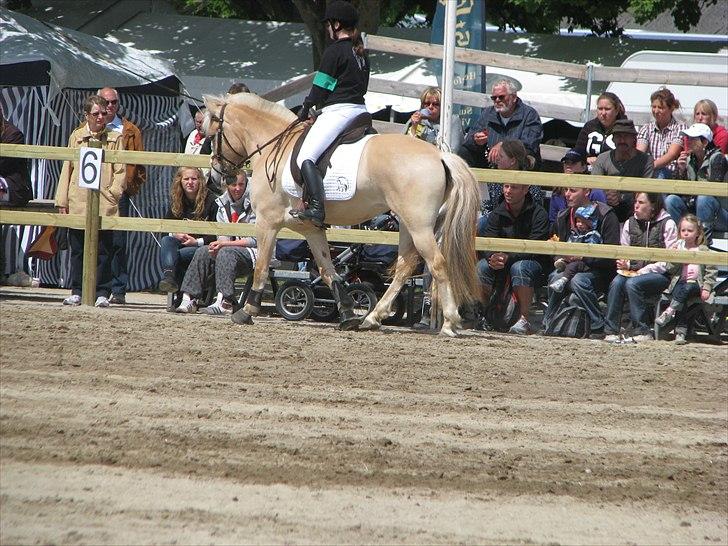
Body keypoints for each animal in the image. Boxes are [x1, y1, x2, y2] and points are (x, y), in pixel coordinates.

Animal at [202, 91, 480, 334]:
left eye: (212, 135)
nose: (214, 181)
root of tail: (440, 155)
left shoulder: (266, 223)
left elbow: (260, 267)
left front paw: (247, 311)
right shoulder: (311, 229)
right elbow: (327, 270)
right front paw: (347, 312)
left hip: (419, 225)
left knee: (437, 263)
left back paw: (449, 323)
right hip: (406, 224)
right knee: (404, 266)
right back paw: (372, 318)